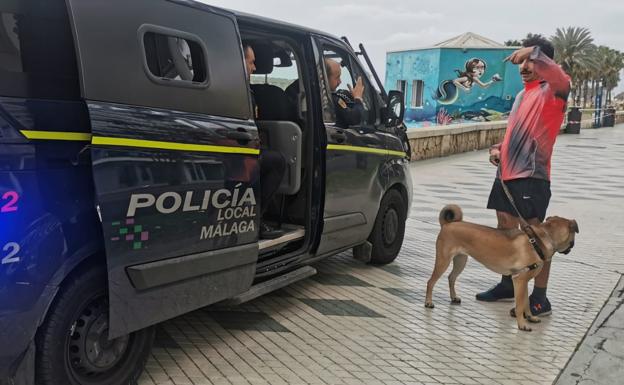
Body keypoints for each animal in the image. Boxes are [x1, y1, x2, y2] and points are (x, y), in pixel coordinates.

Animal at [426, 204, 576, 330]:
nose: (572, 246)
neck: (538, 241)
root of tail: (447, 224)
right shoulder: (519, 280)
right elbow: (520, 305)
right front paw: (522, 325)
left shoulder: (524, 282)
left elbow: (526, 302)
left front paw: (530, 317)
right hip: (443, 261)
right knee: (430, 282)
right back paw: (428, 302)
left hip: (460, 261)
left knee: (451, 277)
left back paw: (453, 297)